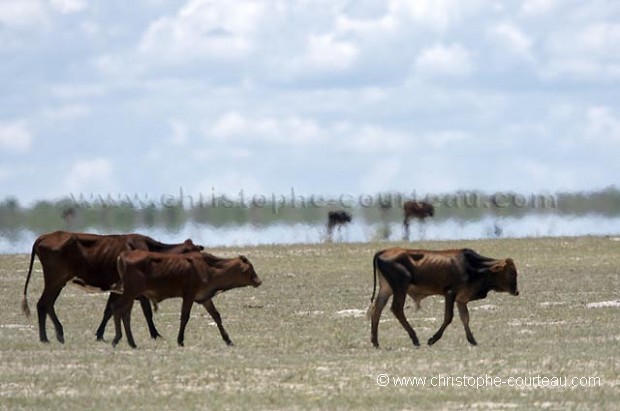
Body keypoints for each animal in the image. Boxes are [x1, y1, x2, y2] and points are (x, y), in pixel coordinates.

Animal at [20, 232, 205, 344]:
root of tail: (45, 236)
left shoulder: (118, 290)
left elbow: (108, 311)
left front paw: (100, 334)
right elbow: (146, 311)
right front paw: (155, 334)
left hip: (58, 282)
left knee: (48, 304)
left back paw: (58, 334)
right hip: (55, 279)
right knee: (43, 304)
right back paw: (45, 338)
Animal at [111, 249, 262, 350]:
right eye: (250, 268)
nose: (258, 281)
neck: (209, 268)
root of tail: (124, 255)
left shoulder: (204, 298)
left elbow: (216, 316)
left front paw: (228, 340)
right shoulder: (189, 295)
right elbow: (185, 317)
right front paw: (180, 340)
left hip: (131, 294)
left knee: (125, 313)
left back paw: (132, 343)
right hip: (131, 292)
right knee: (117, 309)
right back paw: (117, 338)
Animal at [368, 248, 520, 348]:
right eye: (511, 273)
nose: (516, 291)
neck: (473, 267)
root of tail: (383, 251)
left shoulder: (461, 299)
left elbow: (465, 318)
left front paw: (472, 340)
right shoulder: (450, 293)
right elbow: (448, 317)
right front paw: (432, 339)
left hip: (386, 289)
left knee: (377, 309)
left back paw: (375, 342)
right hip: (400, 288)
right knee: (397, 309)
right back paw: (414, 338)